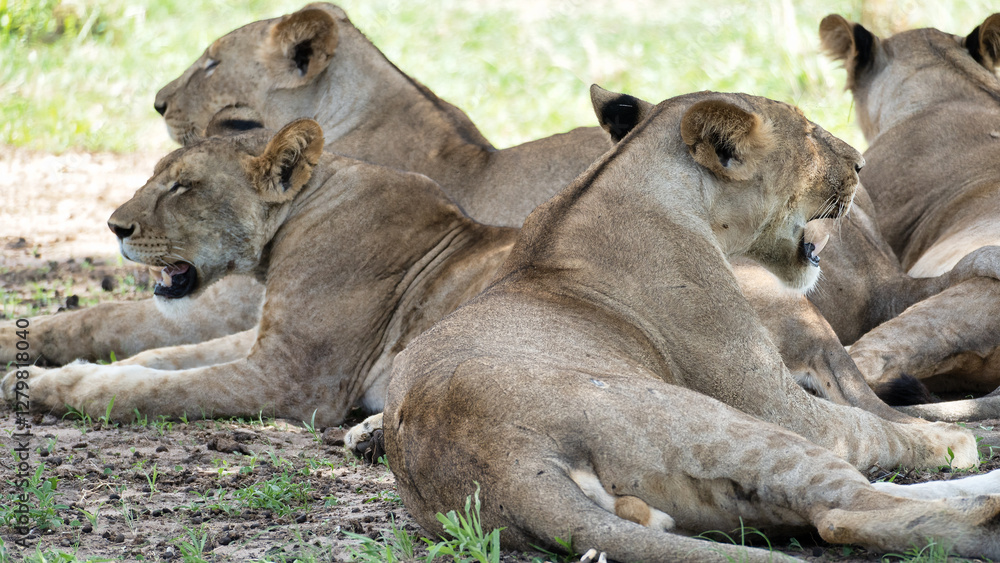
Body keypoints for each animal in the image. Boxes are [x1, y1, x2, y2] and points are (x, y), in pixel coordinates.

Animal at [0, 120, 518, 426]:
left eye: (183, 186)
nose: (113, 227)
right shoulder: (262, 339)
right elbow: (161, 358)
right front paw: (38, 376)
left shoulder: (293, 378)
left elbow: (157, 389)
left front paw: (56, 388)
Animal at [374, 89, 1000, 562]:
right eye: (808, 132)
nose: (861, 165)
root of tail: (500, 466)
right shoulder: (775, 402)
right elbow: (875, 427)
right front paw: (949, 441)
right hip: (731, 427)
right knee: (845, 510)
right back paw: (981, 504)